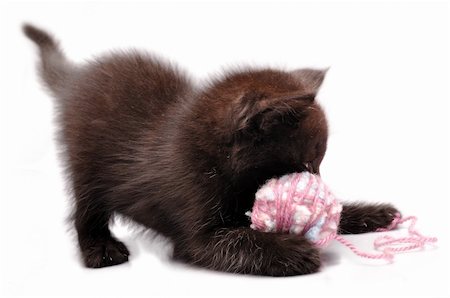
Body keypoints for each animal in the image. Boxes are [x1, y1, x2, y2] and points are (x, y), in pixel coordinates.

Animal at [23, 24, 398, 276]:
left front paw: (370, 213)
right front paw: (289, 249)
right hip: (84, 161)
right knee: (84, 209)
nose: (320, 189)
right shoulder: (195, 233)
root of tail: (76, 77)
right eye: (307, 165)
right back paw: (99, 248)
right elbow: (234, 241)